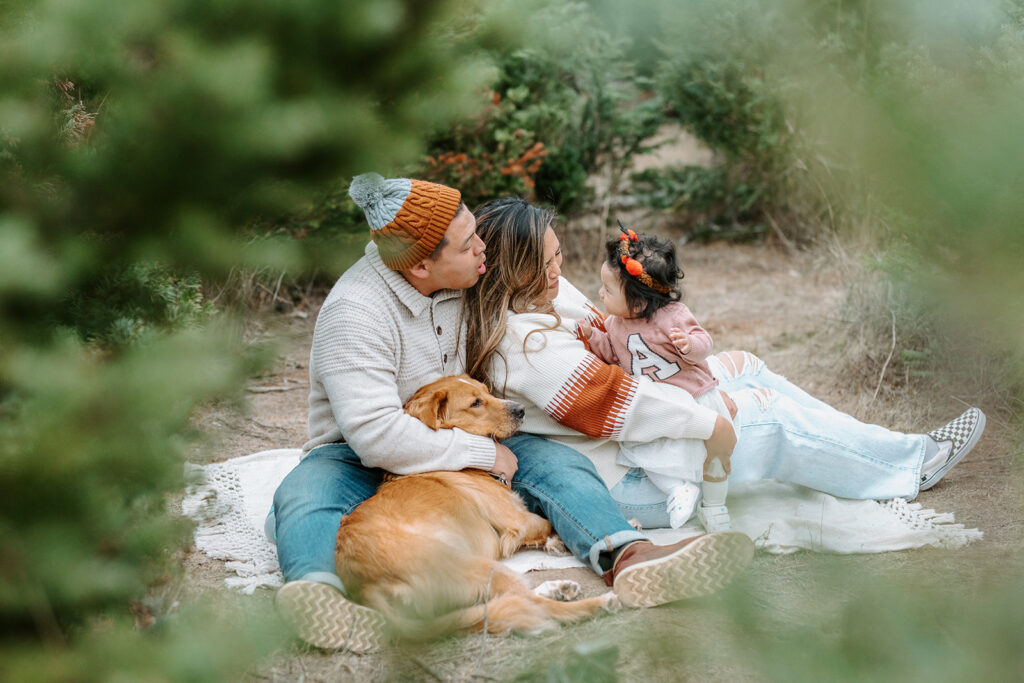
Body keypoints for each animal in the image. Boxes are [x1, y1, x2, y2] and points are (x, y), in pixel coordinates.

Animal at [333, 376, 614, 638]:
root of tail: (366, 586)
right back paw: (597, 603)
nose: (521, 409)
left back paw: (556, 589)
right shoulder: (519, 520)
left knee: (509, 600)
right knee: (527, 603)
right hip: (477, 566)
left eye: (487, 392)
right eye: (475, 403)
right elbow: (547, 522)